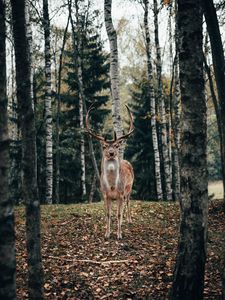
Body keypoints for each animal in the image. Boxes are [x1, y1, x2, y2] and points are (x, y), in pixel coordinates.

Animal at [85, 105, 133, 239]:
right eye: (104, 146)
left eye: (116, 146)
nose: (111, 153)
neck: (112, 186)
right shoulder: (105, 195)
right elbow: (108, 214)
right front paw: (107, 233)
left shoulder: (120, 194)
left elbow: (118, 214)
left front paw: (119, 235)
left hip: (129, 189)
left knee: (128, 202)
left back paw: (128, 220)